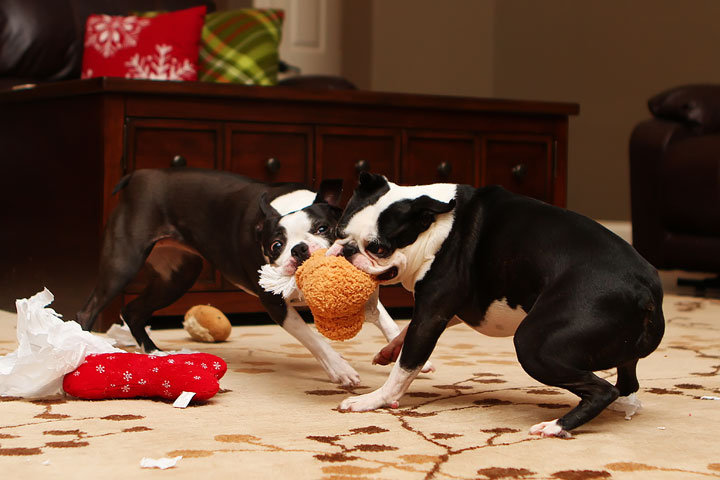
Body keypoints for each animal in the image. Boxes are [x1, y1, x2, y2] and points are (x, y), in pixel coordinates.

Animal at [78, 169, 404, 386]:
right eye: (275, 245)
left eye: (323, 229)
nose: (299, 249)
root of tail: (140, 175)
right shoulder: (275, 304)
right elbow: (313, 339)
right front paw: (340, 369)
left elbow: (386, 320)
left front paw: (396, 348)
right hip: (124, 262)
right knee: (89, 308)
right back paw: (83, 348)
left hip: (178, 276)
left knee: (132, 310)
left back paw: (153, 352)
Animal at [330, 172, 668, 438]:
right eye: (338, 232)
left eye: (378, 248)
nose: (346, 250)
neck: (435, 226)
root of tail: (645, 289)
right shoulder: (459, 305)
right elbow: (406, 337)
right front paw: (389, 350)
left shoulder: (433, 311)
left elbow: (406, 366)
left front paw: (373, 400)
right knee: (626, 382)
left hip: (534, 345)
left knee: (602, 389)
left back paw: (557, 426)